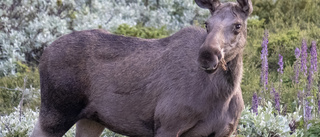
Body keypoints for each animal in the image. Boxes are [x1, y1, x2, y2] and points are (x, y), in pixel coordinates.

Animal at [31, 0, 252, 136]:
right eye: (207, 24)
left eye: (238, 25)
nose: (207, 56)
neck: (222, 96)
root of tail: (43, 54)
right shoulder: (167, 125)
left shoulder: (225, 131)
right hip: (55, 112)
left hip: (91, 119)